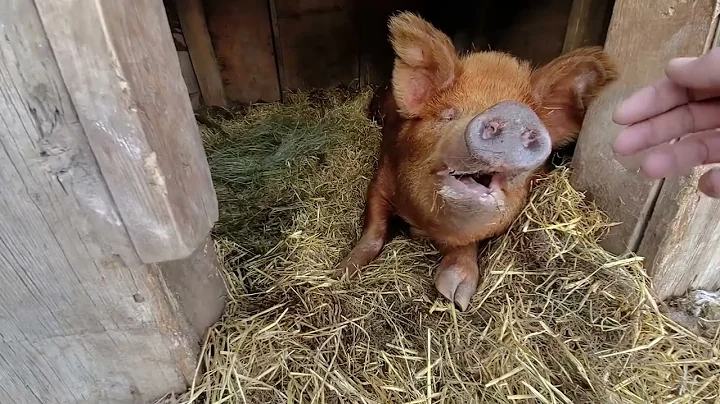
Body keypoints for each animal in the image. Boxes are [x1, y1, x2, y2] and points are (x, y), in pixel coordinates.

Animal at [337, 12, 618, 310]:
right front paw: (343, 271)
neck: (425, 226)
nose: (512, 112)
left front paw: (457, 296)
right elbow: (374, 225)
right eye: (448, 115)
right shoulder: (382, 174)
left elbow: (468, 244)